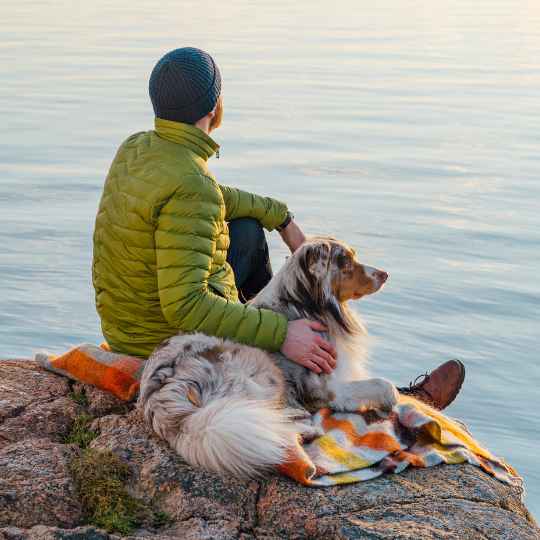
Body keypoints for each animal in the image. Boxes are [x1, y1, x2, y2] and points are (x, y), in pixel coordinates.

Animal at [138, 236, 400, 476]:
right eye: (346, 261)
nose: (385, 274)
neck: (305, 304)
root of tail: (159, 388)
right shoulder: (325, 387)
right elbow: (384, 385)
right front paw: (388, 404)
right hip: (261, 376)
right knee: (262, 421)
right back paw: (306, 429)